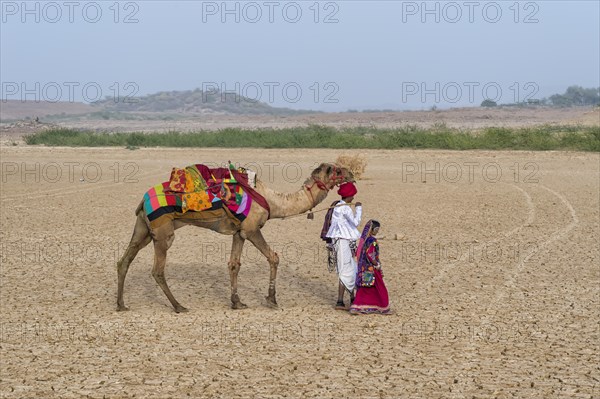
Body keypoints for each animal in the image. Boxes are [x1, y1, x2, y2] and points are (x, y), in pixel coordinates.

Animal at [115, 162, 354, 312]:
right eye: (336, 170)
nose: (351, 173)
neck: (274, 201)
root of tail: (144, 199)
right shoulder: (251, 229)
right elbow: (274, 257)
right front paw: (272, 299)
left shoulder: (239, 232)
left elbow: (233, 264)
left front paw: (237, 302)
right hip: (163, 229)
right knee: (157, 270)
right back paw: (179, 306)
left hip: (143, 228)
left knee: (124, 260)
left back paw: (121, 304)